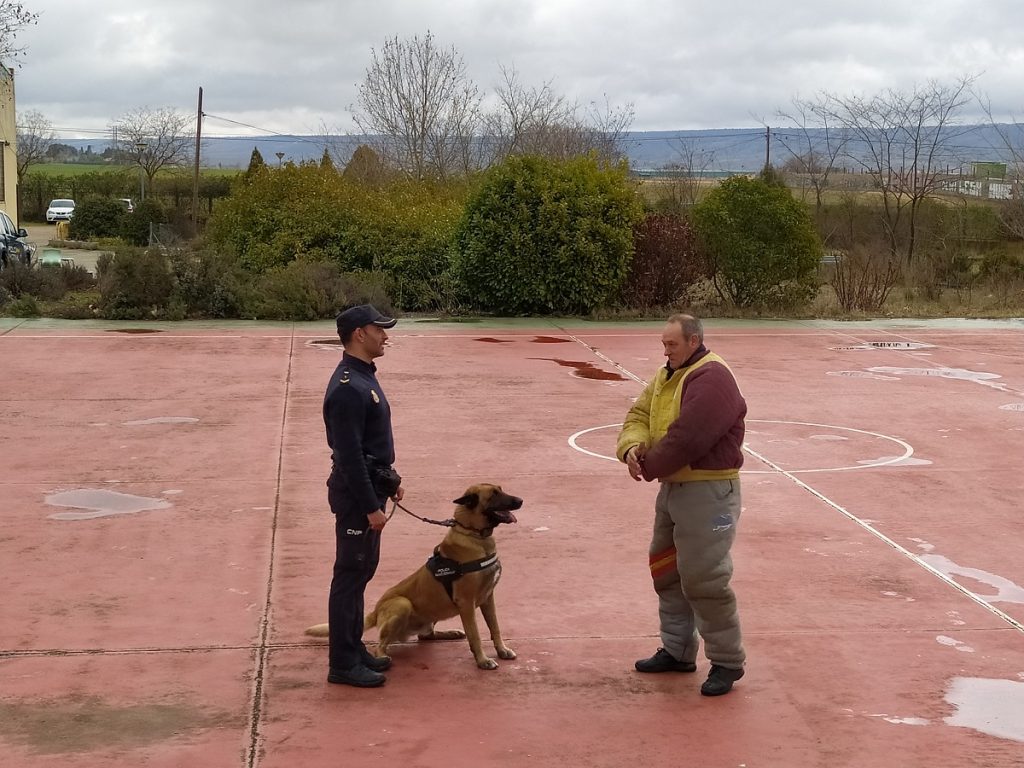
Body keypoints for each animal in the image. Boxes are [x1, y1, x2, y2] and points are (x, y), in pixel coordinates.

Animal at [305, 487, 524, 671]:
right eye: (494, 495)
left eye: (500, 489)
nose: (521, 500)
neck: (474, 534)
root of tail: (375, 611)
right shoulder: (466, 603)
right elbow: (476, 635)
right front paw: (482, 660)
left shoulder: (488, 599)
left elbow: (495, 627)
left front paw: (502, 650)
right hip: (402, 604)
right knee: (381, 645)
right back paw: (381, 657)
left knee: (425, 635)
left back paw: (449, 633)